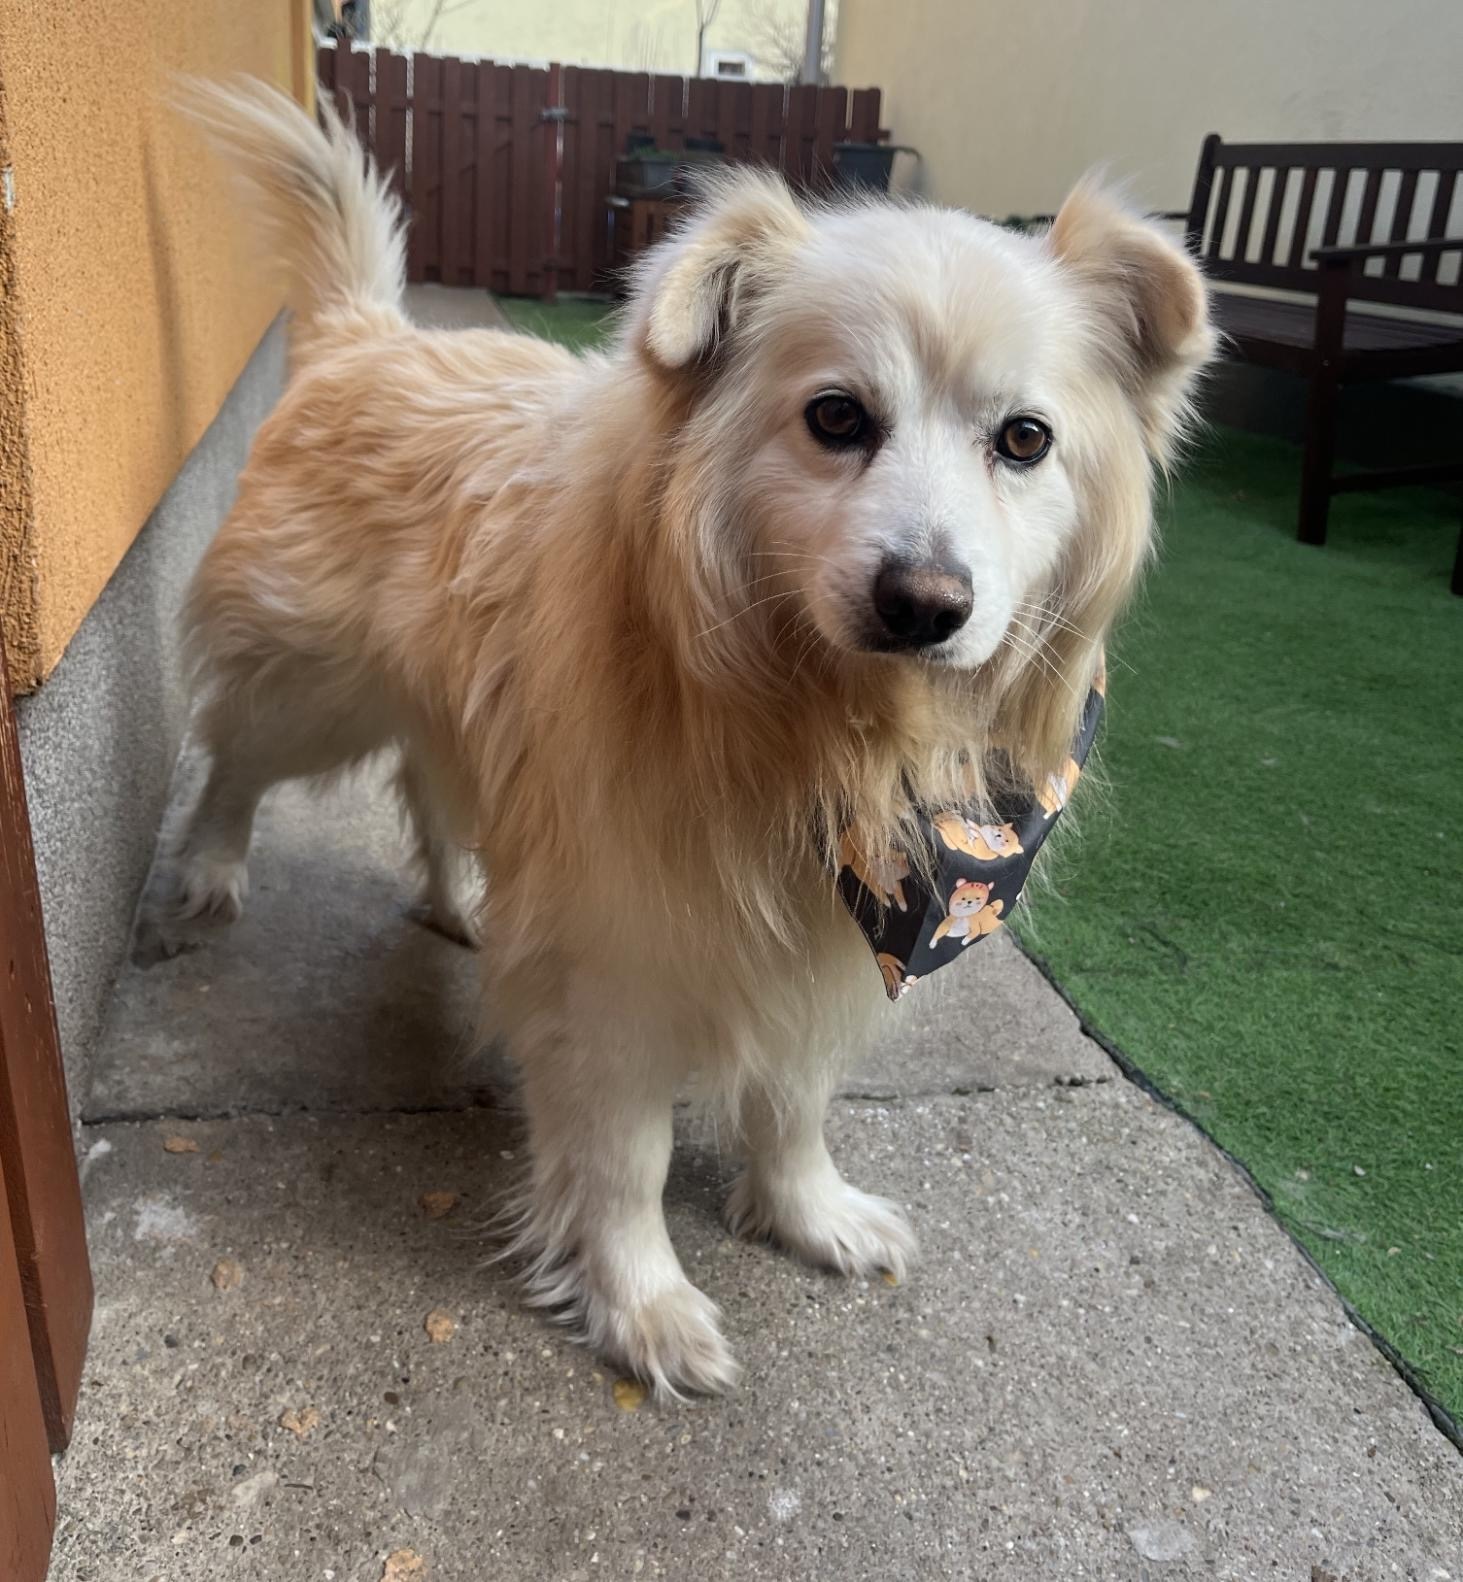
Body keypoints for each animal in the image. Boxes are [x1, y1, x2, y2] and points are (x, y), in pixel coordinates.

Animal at [171, 79, 1213, 1395]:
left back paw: (460, 901)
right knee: (238, 760)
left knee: (430, 786)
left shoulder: (820, 935)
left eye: (1024, 440)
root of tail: (373, 333)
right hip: (313, 692)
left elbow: (793, 1100)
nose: (924, 604)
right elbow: (626, 1161)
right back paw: (208, 872)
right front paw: (642, 1302)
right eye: (835, 417)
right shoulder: (612, 960)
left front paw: (806, 1210)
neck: (824, 728)